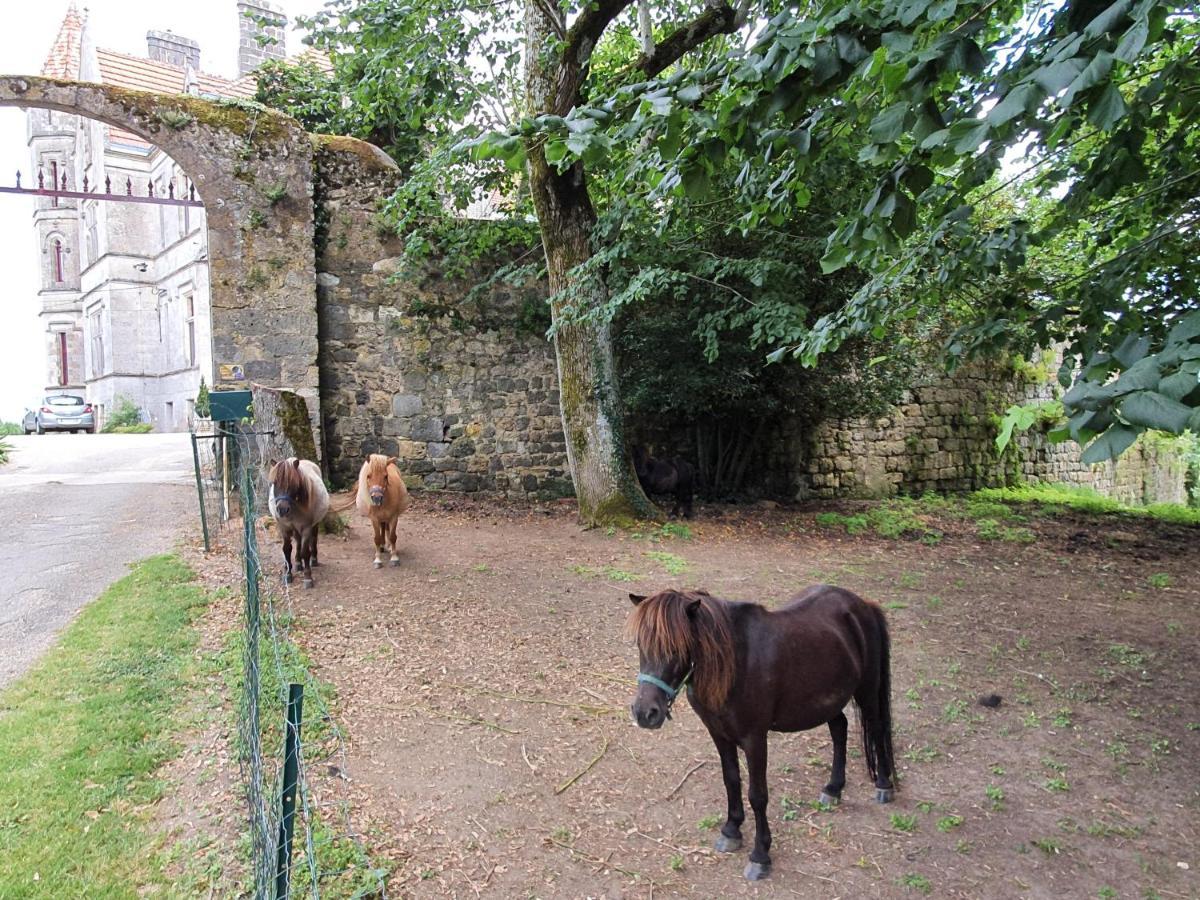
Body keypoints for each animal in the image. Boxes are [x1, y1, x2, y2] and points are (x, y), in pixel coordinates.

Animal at [268, 458, 331, 592]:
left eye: (293, 484)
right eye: (274, 483)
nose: (282, 509)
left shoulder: (306, 528)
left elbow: (305, 551)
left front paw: (308, 577)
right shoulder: (284, 528)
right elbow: (287, 549)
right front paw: (288, 574)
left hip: (314, 525)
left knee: (314, 539)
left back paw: (313, 559)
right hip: (295, 528)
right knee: (297, 541)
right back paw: (297, 563)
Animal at [628, 588, 892, 883]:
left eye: (676, 648)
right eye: (640, 646)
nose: (645, 713)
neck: (737, 663)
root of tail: (862, 604)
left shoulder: (755, 739)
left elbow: (758, 795)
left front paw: (760, 855)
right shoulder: (719, 734)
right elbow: (731, 780)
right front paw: (731, 831)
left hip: (867, 692)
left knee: (877, 729)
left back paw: (883, 786)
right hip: (827, 700)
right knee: (839, 729)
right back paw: (833, 789)